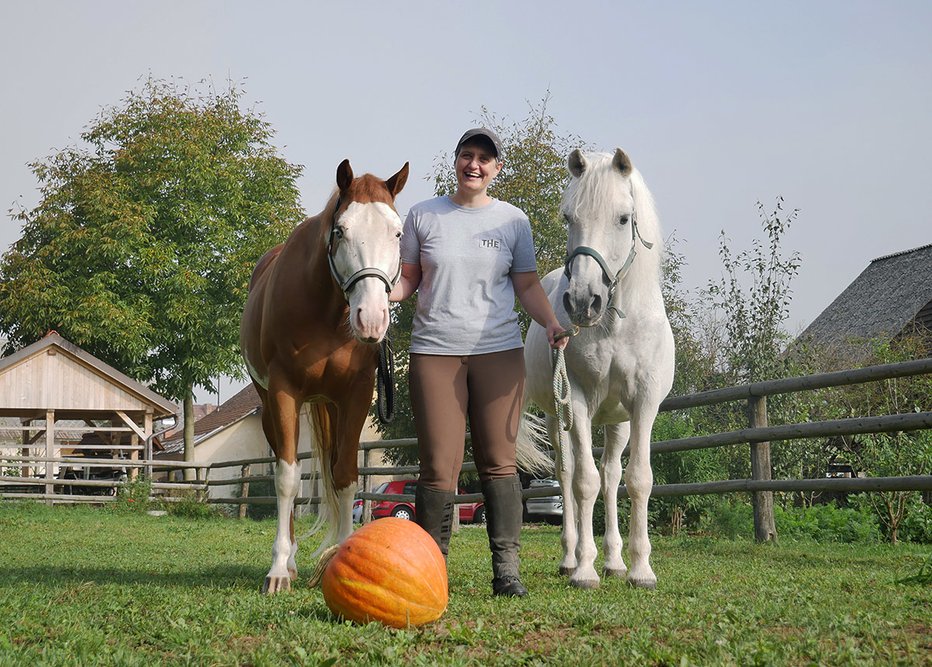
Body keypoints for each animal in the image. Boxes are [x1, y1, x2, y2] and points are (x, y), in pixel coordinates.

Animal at [244, 159, 408, 592]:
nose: (372, 319)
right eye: (340, 231)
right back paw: (290, 562)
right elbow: (287, 479)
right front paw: (278, 569)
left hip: (331, 405)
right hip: (271, 409)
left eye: (397, 232)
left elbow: (346, 476)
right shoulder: (284, 393)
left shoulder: (356, 396)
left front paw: (343, 557)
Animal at [524, 150, 668, 588]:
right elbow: (583, 482)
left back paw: (615, 561)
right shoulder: (579, 401)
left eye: (623, 218)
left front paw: (640, 569)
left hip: (617, 421)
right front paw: (585, 570)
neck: (616, 324)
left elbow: (638, 479)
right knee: (568, 474)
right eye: (568, 216)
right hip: (559, 419)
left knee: (611, 476)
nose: (582, 302)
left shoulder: (643, 405)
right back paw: (571, 558)